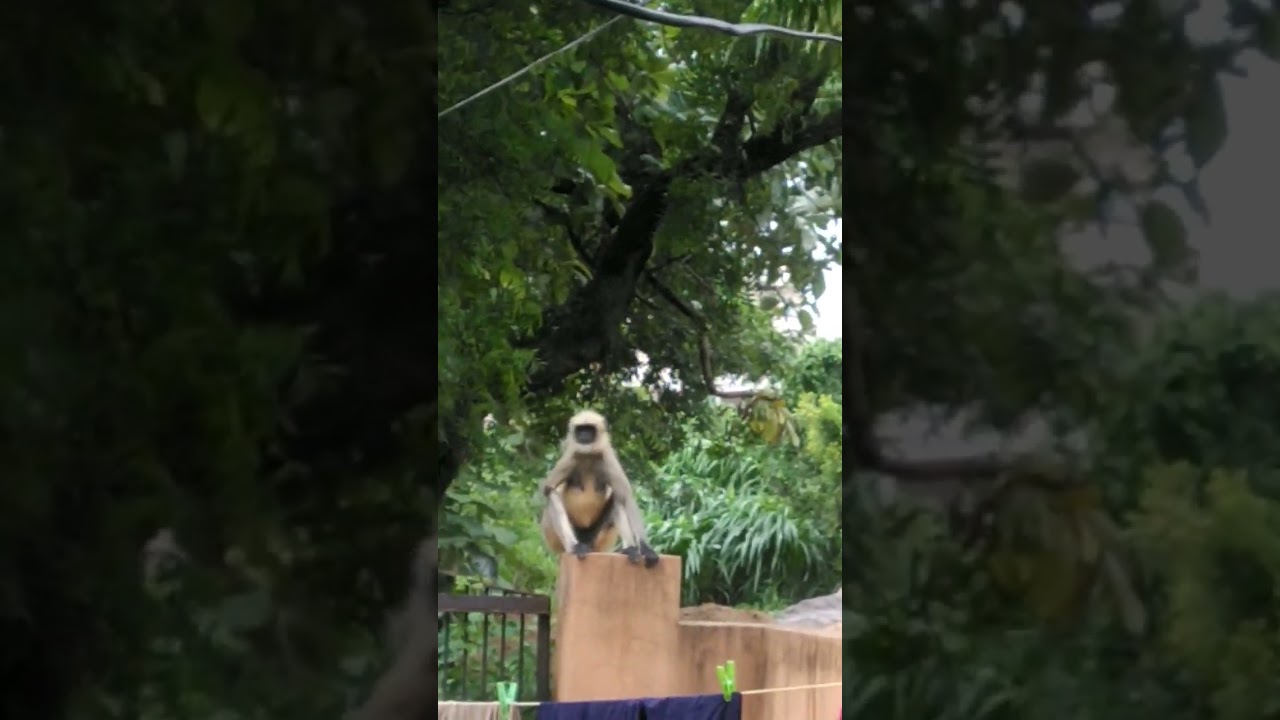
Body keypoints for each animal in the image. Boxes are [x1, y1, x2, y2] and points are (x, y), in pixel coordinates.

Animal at [540, 410, 660, 568]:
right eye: (580, 429)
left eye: (589, 429)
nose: (584, 435)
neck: (589, 455)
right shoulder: (570, 457)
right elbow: (549, 489)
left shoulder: (607, 457)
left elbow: (626, 496)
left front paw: (646, 549)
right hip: (554, 537)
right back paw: (575, 546)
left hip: (598, 537)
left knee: (617, 496)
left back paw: (629, 549)